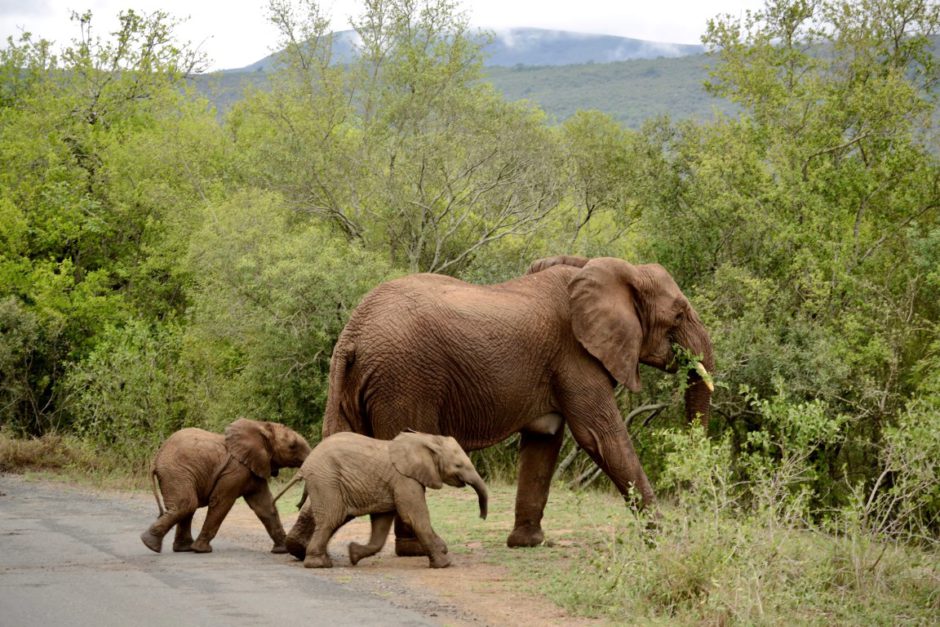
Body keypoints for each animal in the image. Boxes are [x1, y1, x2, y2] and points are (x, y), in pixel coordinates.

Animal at [140, 420, 310, 556]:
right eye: (293, 446)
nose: (297, 506)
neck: (260, 426)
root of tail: (156, 458)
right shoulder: (235, 471)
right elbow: (221, 502)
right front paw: (201, 550)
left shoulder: (253, 469)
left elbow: (265, 506)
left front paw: (282, 551)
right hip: (176, 472)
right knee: (187, 504)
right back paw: (150, 545)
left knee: (188, 507)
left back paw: (181, 548)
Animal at [280, 432, 488, 568]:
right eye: (458, 465)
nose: (482, 517)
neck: (426, 439)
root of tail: (304, 466)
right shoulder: (404, 479)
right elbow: (414, 518)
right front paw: (444, 563)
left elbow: (381, 525)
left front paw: (353, 554)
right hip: (325, 481)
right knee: (332, 518)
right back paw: (318, 564)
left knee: (334, 519)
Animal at [324, 255, 712, 548]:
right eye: (678, 315)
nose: (691, 514)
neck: (603, 266)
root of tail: (353, 334)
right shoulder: (574, 355)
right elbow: (600, 437)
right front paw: (664, 537)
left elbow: (544, 441)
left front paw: (528, 543)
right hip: (404, 379)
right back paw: (416, 550)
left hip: (357, 381)